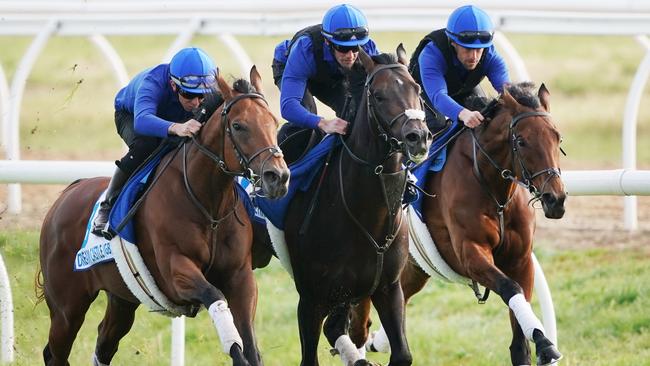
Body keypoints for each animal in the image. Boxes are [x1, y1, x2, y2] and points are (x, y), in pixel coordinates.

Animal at [36, 66, 288, 366]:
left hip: (122, 298)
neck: (210, 207)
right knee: (55, 352)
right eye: (238, 126)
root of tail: (64, 196)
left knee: (104, 343)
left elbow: (250, 343)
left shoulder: (239, 276)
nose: (278, 177)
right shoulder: (175, 272)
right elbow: (215, 299)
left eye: (273, 121)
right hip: (67, 308)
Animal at [274, 46, 430, 366]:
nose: (417, 136)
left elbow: (402, 354)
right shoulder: (310, 299)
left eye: (417, 89)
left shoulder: (388, 288)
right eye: (379, 95)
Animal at [352, 81, 564, 364]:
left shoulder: (520, 260)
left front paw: (541, 342)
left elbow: (520, 338)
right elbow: (510, 287)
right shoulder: (470, 254)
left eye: (557, 137)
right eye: (521, 141)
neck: (495, 192)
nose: (556, 199)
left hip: (413, 269)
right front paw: (544, 342)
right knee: (357, 320)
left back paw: (379, 340)